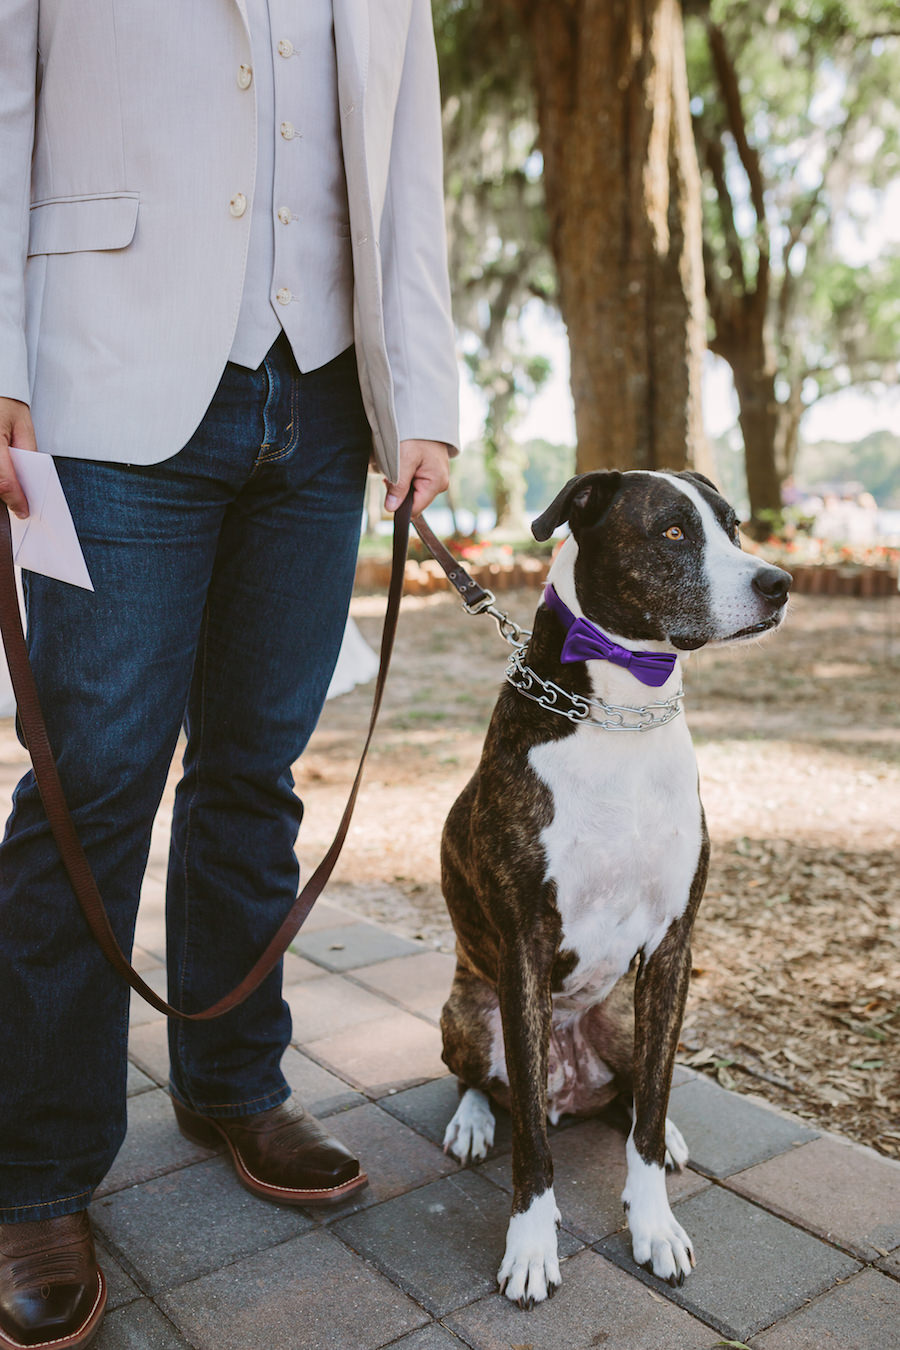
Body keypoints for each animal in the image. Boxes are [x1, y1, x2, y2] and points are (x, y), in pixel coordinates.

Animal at [439, 472, 793, 1306]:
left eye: (733, 525)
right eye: (671, 533)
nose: (779, 583)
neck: (623, 713)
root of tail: (574, 1086)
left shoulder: (672, 947)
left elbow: (654, 1109)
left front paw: (653, 1222)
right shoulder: (525, 949)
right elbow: (530, 1142)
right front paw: (531, 1243)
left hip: (625, 1019)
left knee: (636, 1098)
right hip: (470, 1010)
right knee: (483, 1083)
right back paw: (473, 1120)